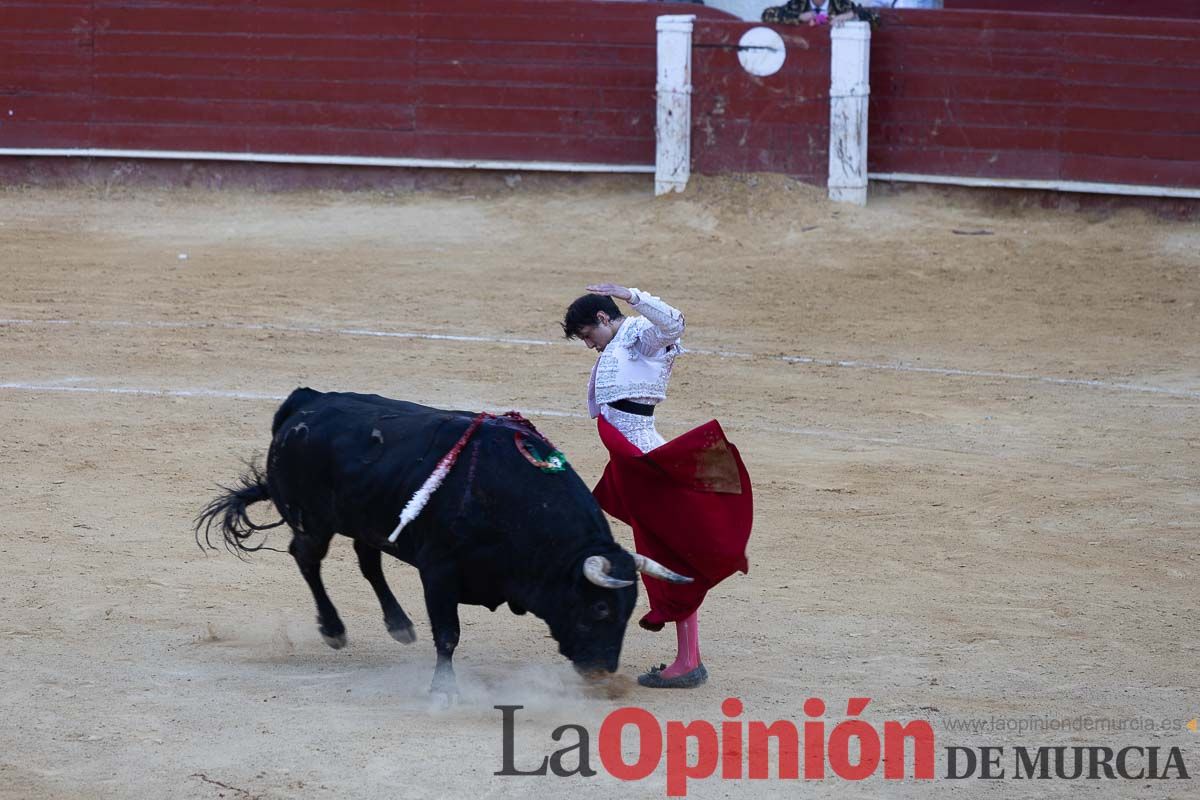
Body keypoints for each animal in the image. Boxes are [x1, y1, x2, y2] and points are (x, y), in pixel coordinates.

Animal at [195, 391, 686, 695]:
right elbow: (448, 634)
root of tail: (304, 402)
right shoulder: (439, 571)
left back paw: (399, 624)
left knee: (367, 561)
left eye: (630, 610)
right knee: (306, 558)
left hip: (371, 520)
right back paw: (333, 629)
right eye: (600, 608)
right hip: (313, 522)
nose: (603, 671)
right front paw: (444, 690)